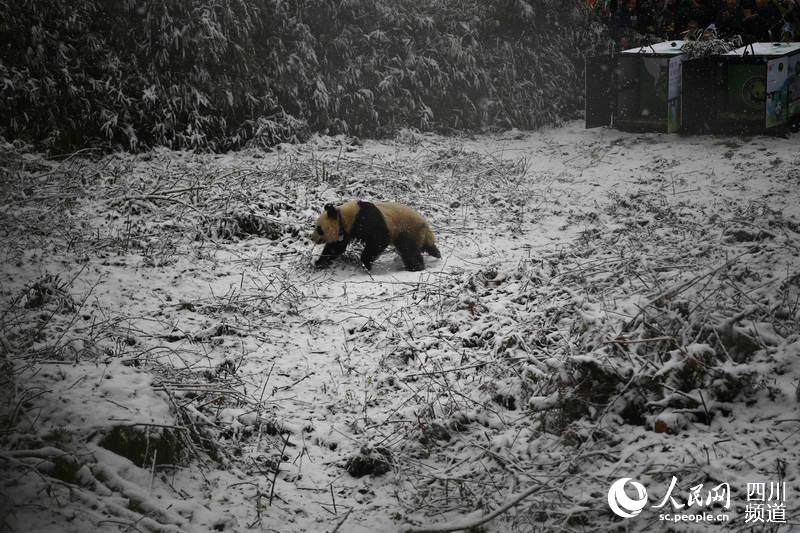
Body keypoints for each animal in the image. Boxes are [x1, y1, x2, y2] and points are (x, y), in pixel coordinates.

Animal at [310, 202, 440, 272]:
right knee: (421, 247)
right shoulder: (346, 231)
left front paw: (366, 263)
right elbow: (336, 247)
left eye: (319, 229)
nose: (312, 238)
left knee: (409, 250)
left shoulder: (366, 218)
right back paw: (435, 253)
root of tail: (425, 224)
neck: (344, 216)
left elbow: (379, 239)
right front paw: (320, 262)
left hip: (408, 229)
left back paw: (416, 267)